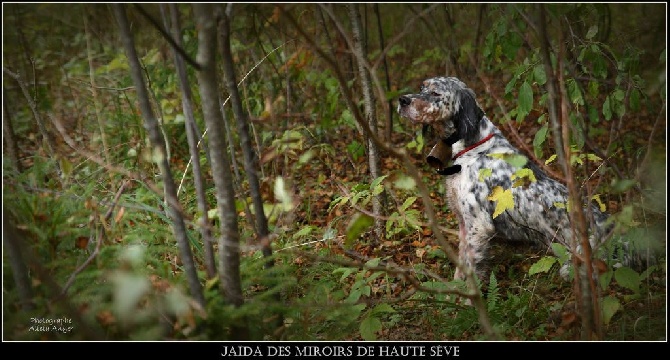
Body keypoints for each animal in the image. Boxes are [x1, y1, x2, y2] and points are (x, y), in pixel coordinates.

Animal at [400, 76, 624, 282]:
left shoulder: (478, 225)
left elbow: (471, 270)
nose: (402, 100)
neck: (473, 147)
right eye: (422, 87)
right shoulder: (464, 222)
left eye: (435, 93)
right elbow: (460, 266)